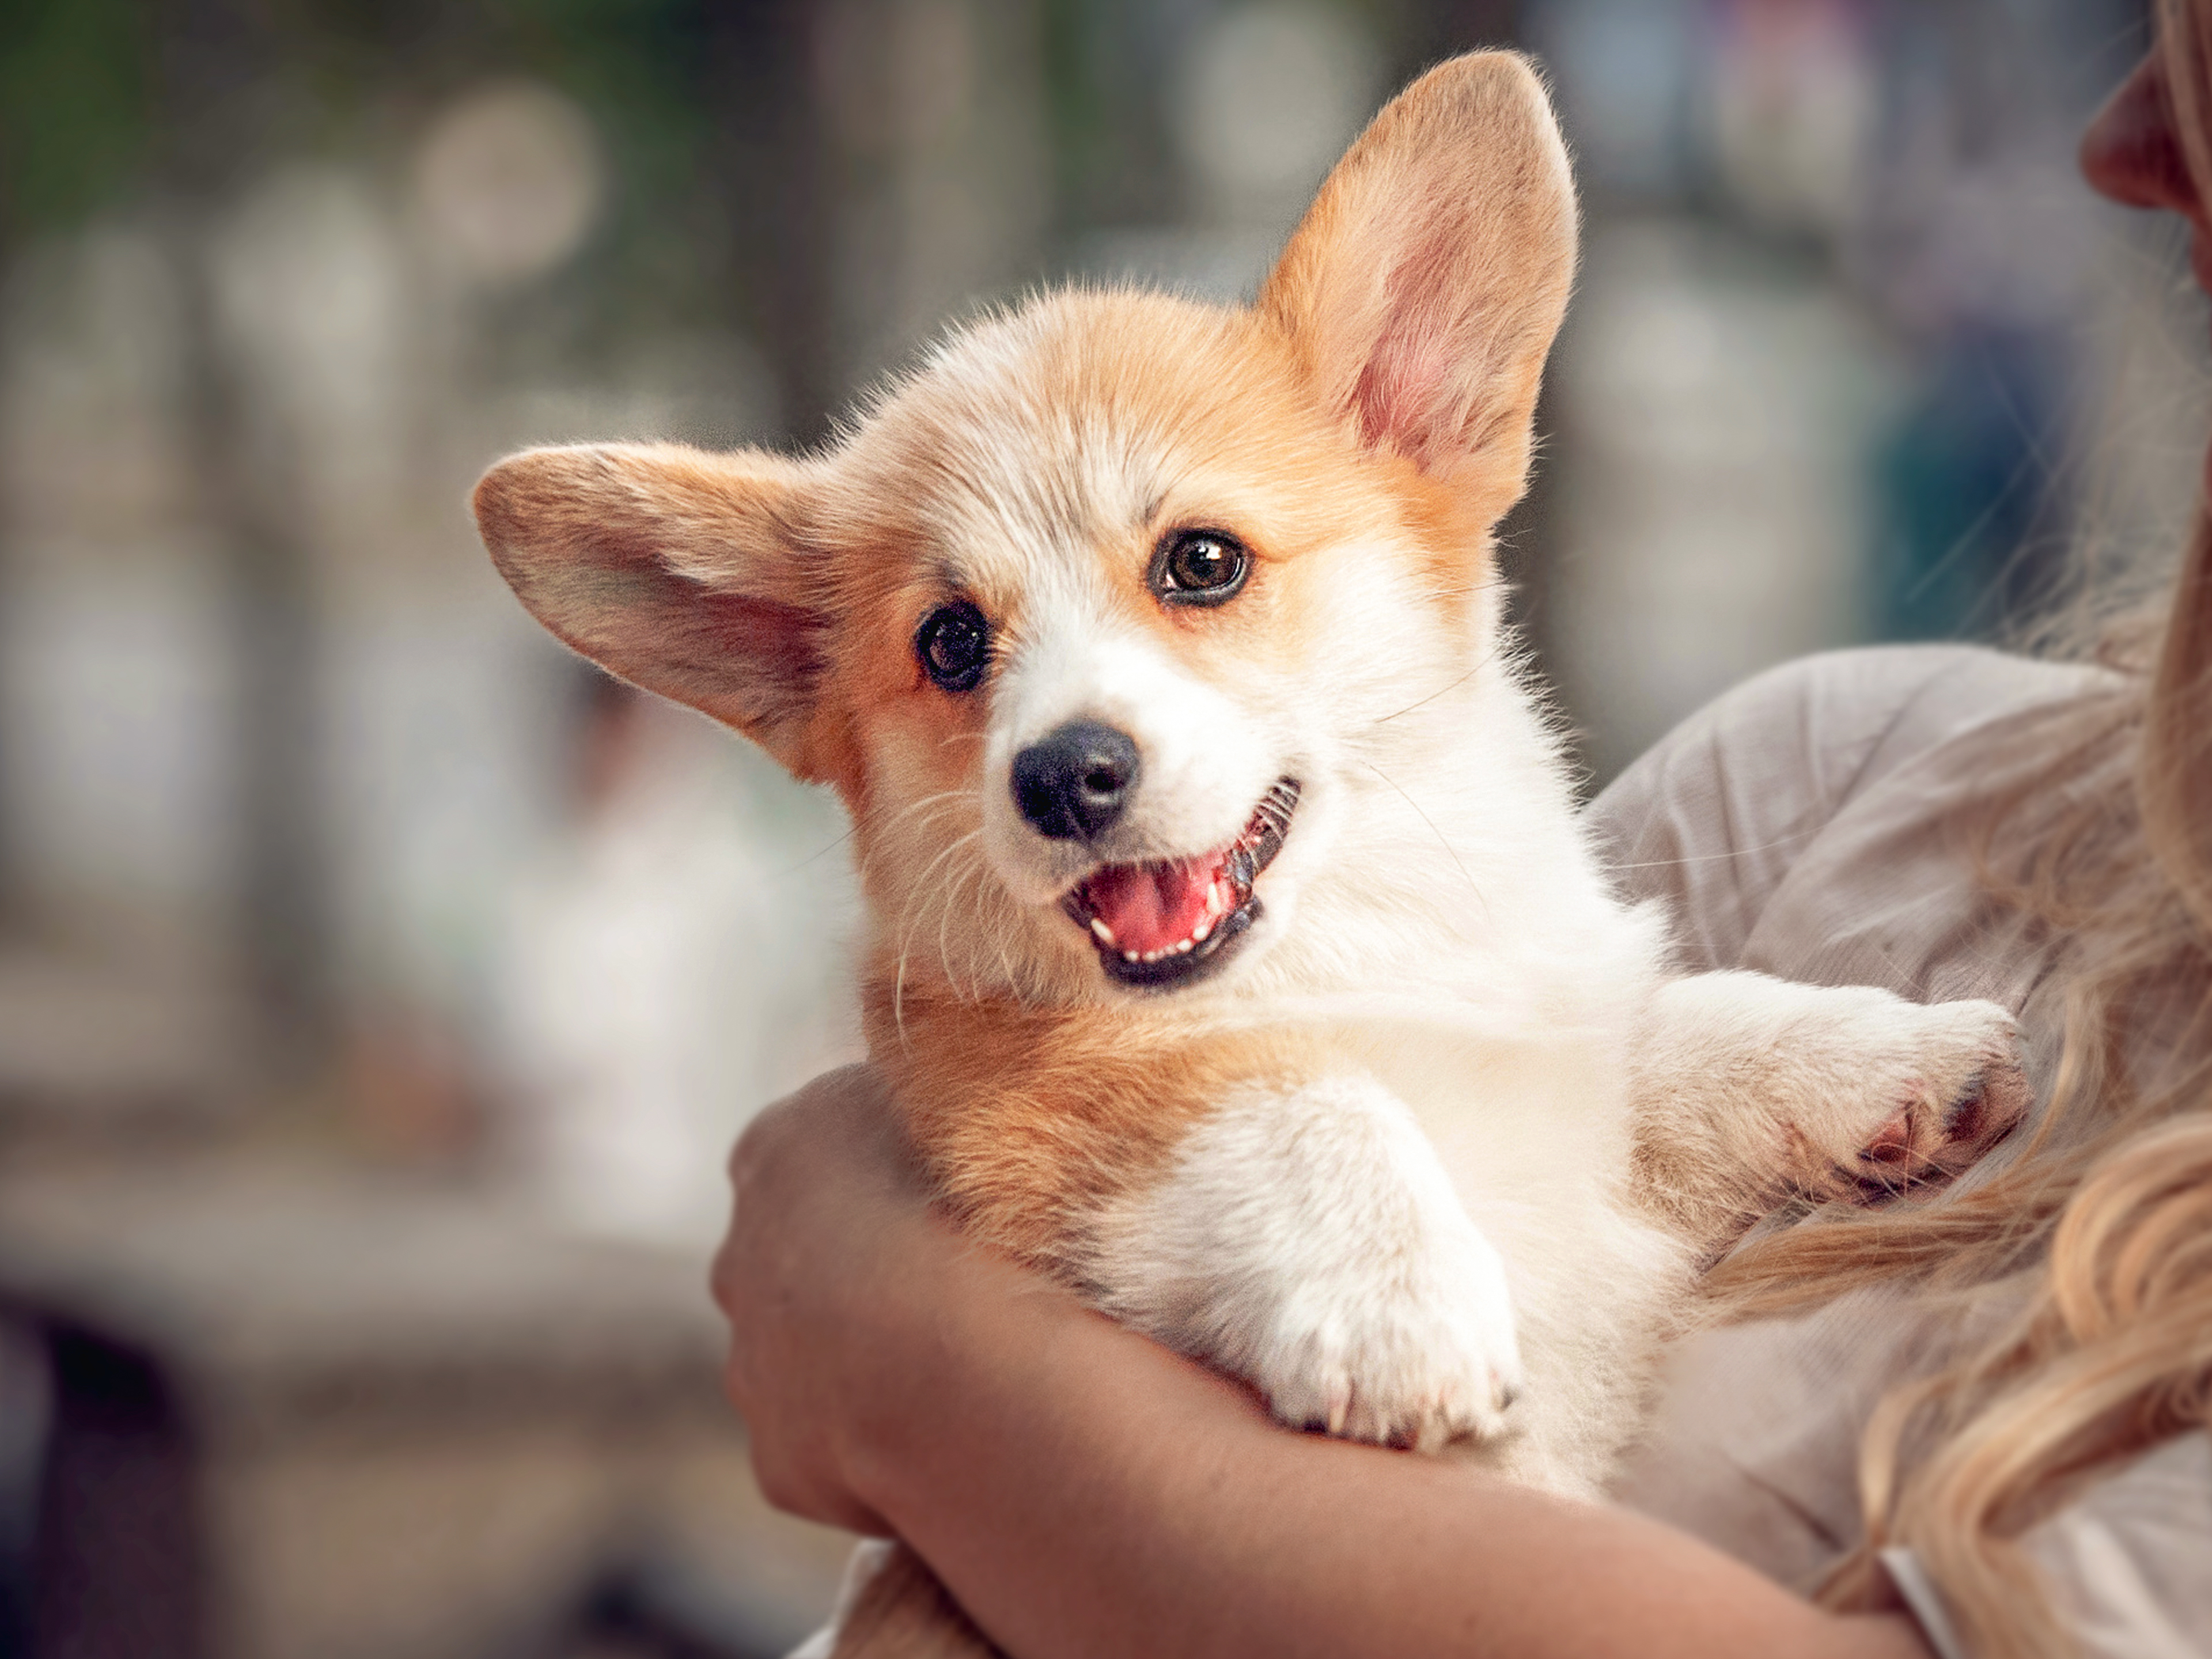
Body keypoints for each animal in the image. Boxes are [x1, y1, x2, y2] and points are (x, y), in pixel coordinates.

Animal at [475, 52, 2026, 1659]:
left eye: (1201, 564)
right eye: (951, 642)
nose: (1064, 775)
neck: (1353, 957)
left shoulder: (1558, 1055)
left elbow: (1672, 1029)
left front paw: (1888, 1054)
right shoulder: (1053, 1136)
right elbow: (1291, 1095)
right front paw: (1396, 1306)